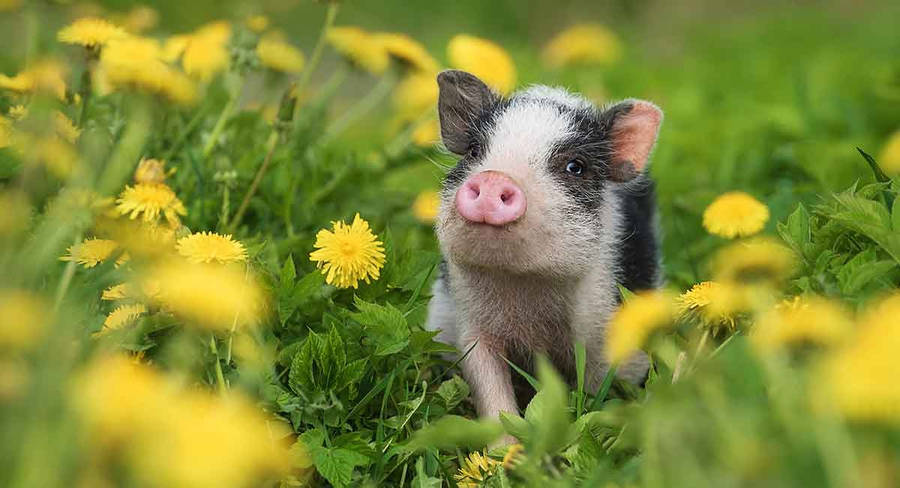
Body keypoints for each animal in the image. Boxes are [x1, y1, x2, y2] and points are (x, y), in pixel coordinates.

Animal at [425, 70, 663, 420]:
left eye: (575, 167)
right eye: (473, 151)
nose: (494, 178)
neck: (525, 287)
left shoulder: (603, 320)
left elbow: (597, 388)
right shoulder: (471, 321)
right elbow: (488, 383)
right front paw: (504, 438)